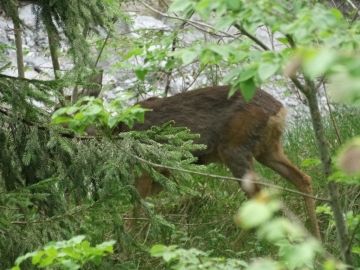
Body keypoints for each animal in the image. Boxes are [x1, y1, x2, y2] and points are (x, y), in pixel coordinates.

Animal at [55, 82, 320, 240]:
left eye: (61, 111)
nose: (53, 129)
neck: (117, 132)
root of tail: (279, 110)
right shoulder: (162, 171)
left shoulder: (144, 165)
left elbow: (138, 205)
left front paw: (129, 243)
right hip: (267, 149)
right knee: (303, 178)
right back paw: (315, 238)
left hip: (235, 149)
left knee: (259, 196)